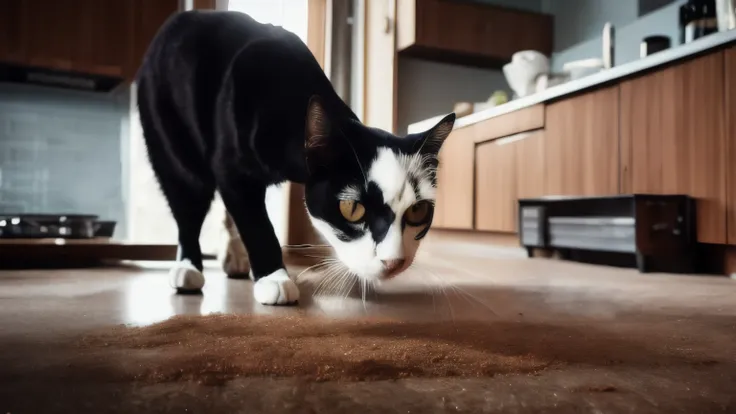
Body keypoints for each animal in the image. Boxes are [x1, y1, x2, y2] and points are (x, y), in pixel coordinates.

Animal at [134, 9, 452, 306]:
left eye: (418, 211)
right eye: (352, 209)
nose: (394, 262)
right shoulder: (232, 169)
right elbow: (256, 223)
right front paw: (274, 277)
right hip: (172, 141)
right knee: (188, 201)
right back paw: (187, 267)